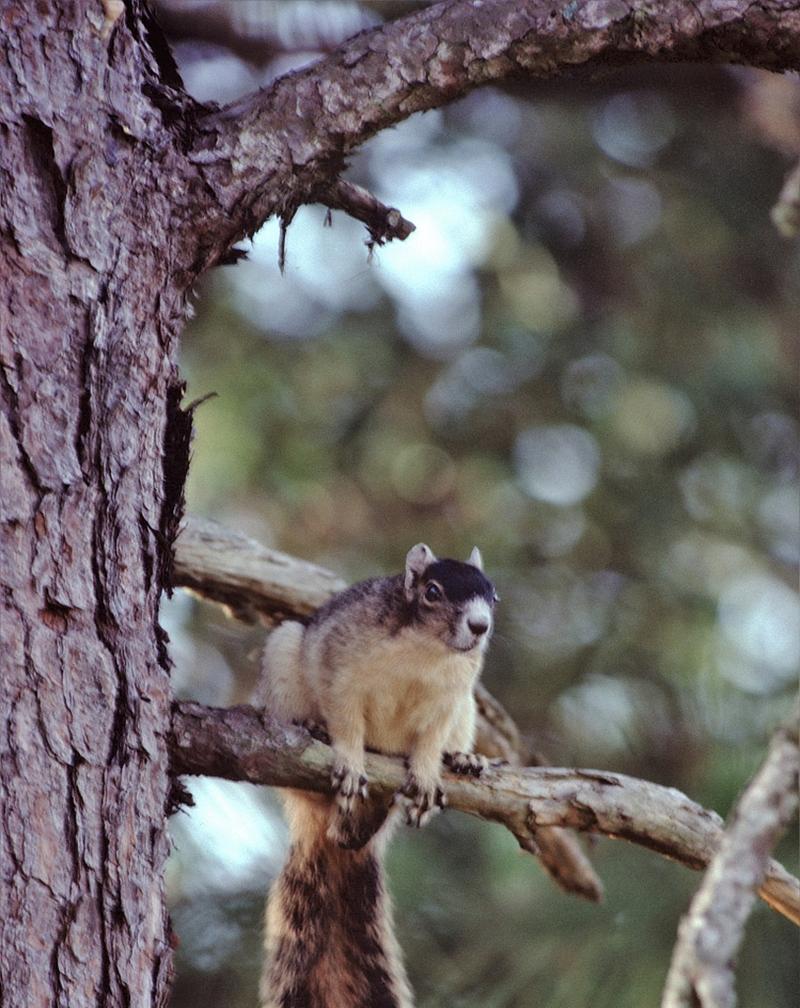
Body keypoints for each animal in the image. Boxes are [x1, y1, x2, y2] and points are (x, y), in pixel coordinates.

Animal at [252, 544, 495, 1008]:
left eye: (493, 596)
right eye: (432, 592)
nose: (480, 626)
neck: (426, 649)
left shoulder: (450, 700)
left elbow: (429, 742)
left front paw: (427, 773)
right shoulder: (342, 669)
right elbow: (347, 722)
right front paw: (348, 759)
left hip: (467, 710)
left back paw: (461, 758)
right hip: (284, 660)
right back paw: (312, 729)